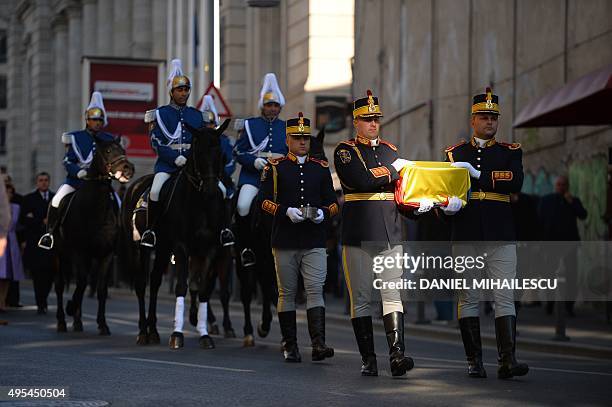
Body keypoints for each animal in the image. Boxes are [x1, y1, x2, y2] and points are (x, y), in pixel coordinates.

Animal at [53, 137, 134, 334]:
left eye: (122, 150)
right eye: (107, 151)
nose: (128, 169)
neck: (95, 208)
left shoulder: (106, 254)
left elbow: (100, 288)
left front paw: (103, 324)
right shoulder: (79, 252)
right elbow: (81, 283)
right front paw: (70, 307)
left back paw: (77, 322)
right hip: (60, 254)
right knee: (60, 285)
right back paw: (62, 321)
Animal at [121, 119, 230, 350]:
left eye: (220, 152)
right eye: (198, 151)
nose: (210, 190)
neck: (200, 205)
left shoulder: (210, 249)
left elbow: (203, 288)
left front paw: (204, 335)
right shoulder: (181, 247)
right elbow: (181, 286)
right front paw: (177, 334)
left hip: (162, 249)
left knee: (154, 282)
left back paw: (153, 331)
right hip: (140, 249)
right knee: (141, 283)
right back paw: (143, 332)